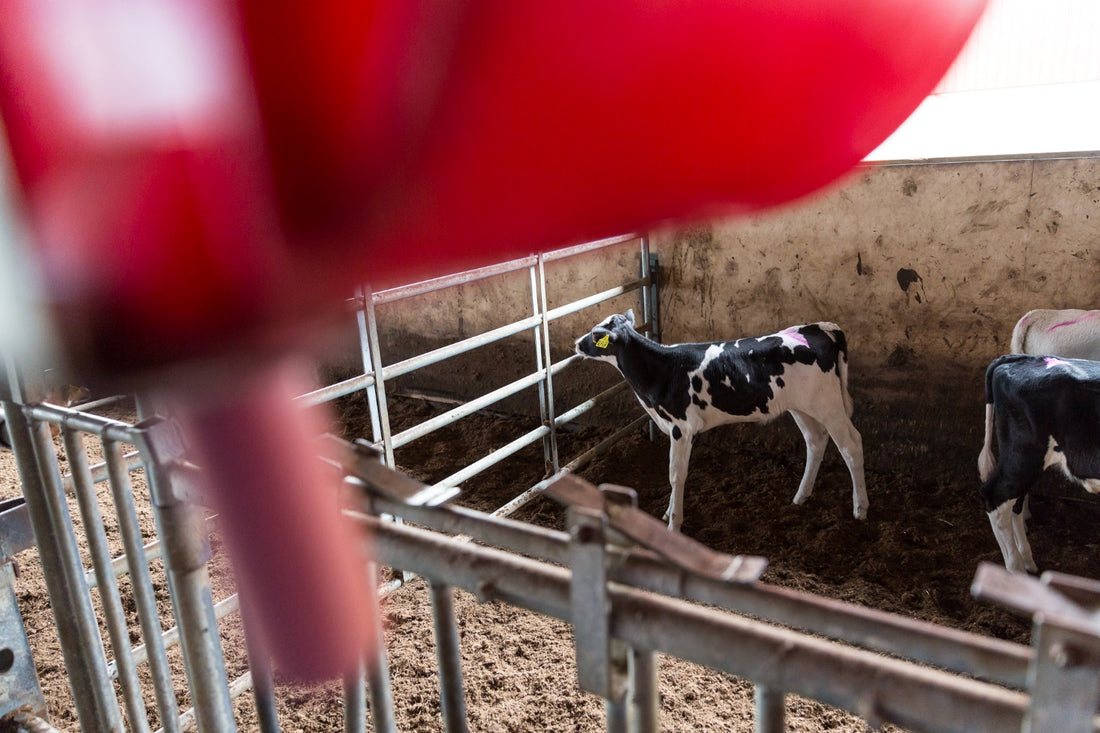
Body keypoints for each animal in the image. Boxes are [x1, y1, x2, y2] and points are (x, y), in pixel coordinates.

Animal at [576, 310, 866, 530]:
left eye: (596, 335)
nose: (577, 343)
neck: (662, 369)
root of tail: (821, 327)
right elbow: (674, 474)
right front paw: (668, 512)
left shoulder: (682, 428)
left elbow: (676, 475)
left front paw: (673, 523)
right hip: (802, 406)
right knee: (815, 441)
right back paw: (800, 497)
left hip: (829, 404)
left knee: (851, 446)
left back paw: (860, 508)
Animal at [981, 352, 1100, 572]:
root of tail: (1023, 357)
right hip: (1023, 455)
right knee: (994, 497)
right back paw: (1016, 569)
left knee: (1015, 505)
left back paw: (1028, 561)